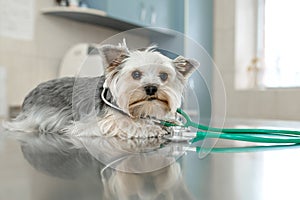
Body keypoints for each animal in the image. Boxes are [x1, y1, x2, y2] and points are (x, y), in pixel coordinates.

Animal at [3, 41, 200, 139]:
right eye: (136, 74)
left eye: (164, 76)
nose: (151, 88)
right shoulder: (89, 124)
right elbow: (122, 123)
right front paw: (149, 128)